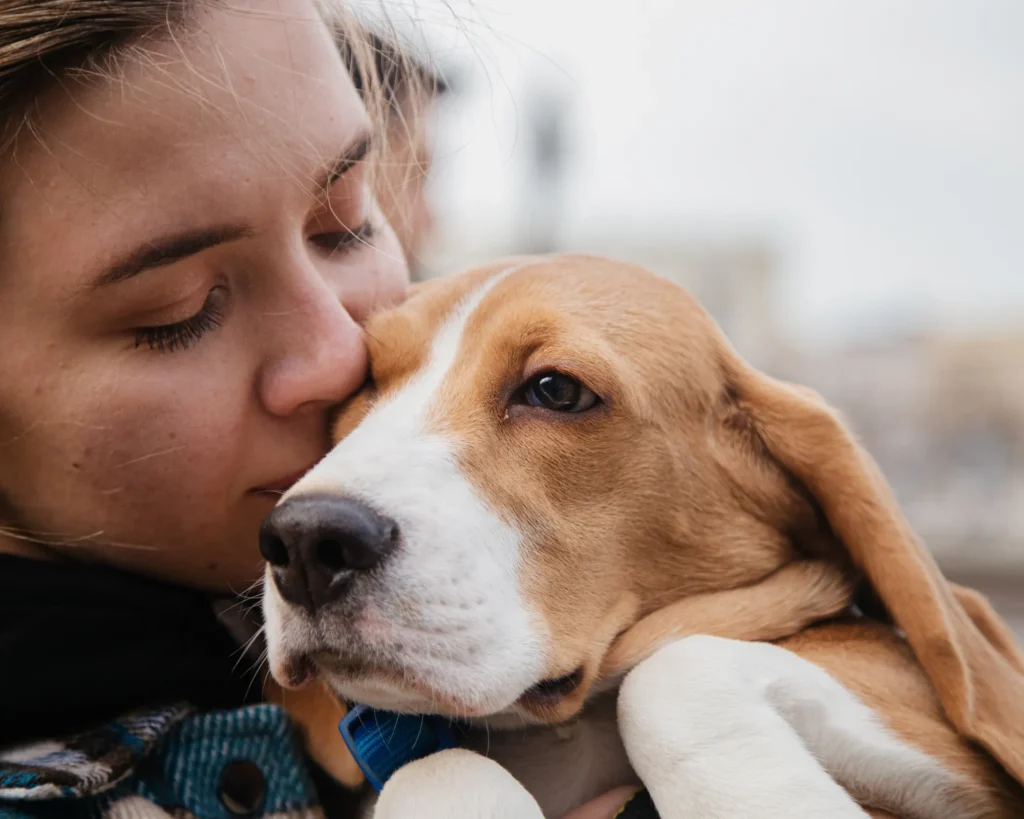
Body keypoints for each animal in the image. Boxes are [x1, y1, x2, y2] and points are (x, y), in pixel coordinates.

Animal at [258, 252, 1024, 814]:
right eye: (365, 384)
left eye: (556, 390)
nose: (305, 541)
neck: (565, 732)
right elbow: (436, 767)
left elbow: (671, 670)